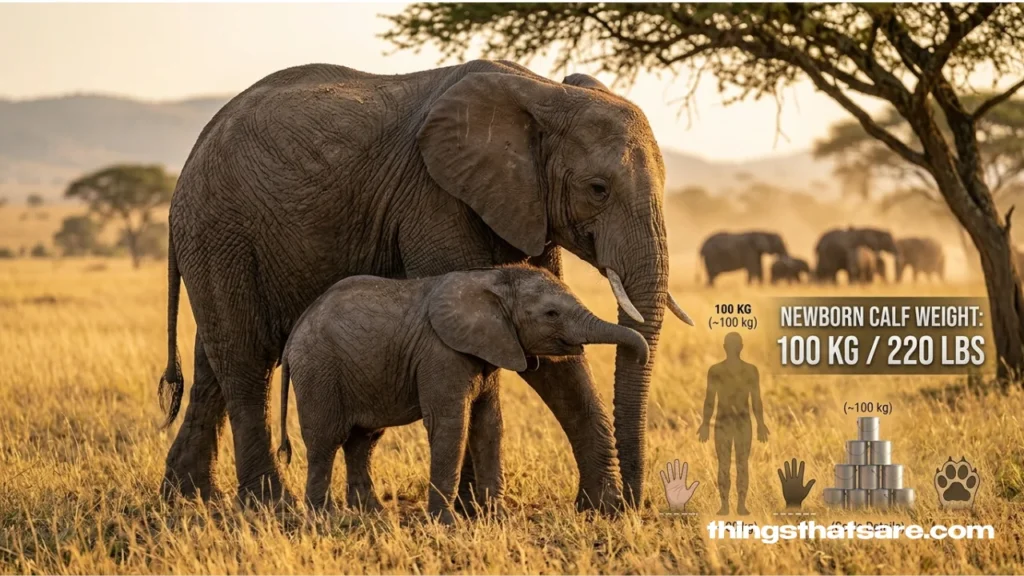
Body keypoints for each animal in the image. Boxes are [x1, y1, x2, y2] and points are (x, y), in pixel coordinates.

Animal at [276, 266, 649, 523]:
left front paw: (497, 518)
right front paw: (447, 523)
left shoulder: (491, 347)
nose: (643, 356)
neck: (493, 278)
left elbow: (489, 425)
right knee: (326, 441)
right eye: (551, 314)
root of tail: (294, 334)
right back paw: (323, 517)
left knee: (362, 441)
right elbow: (451, 425)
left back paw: (371, 513)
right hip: (319, 370)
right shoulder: (441, 353)